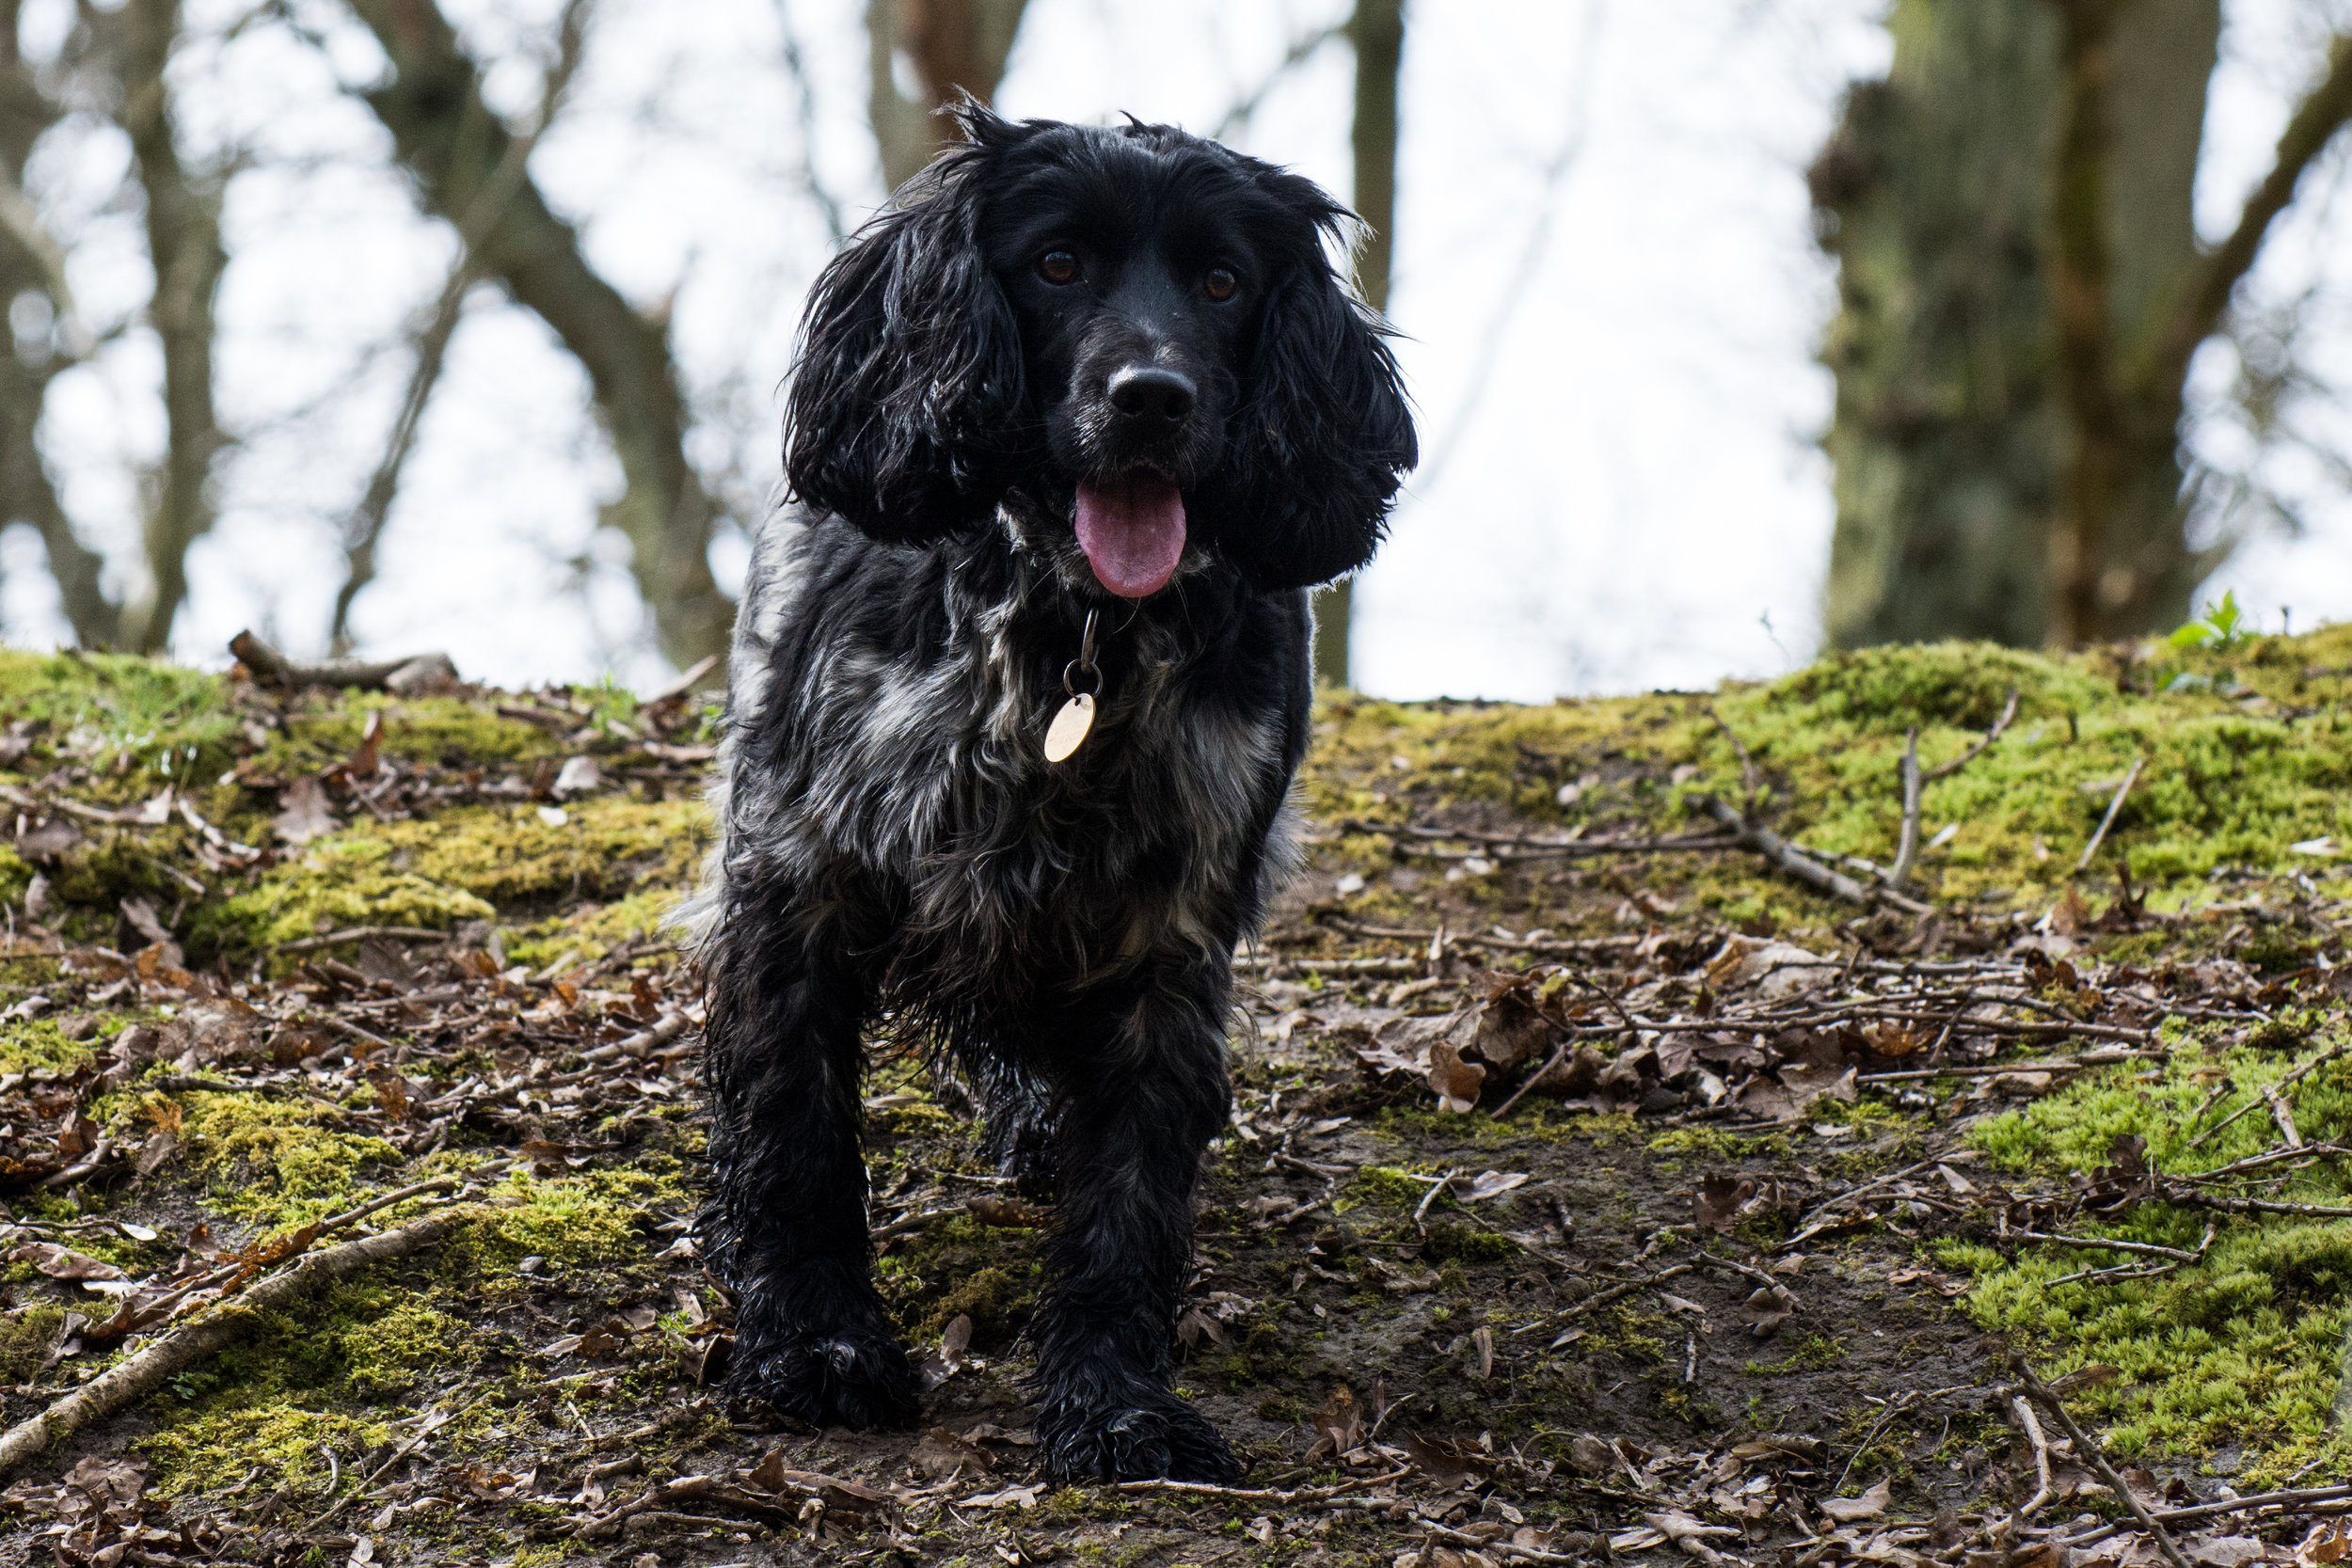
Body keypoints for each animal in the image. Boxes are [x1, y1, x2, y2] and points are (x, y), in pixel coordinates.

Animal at [682, 101, 1411, 1485]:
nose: (1153, 397)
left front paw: (1114, 1400)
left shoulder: (1170, 930)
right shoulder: (799, 873)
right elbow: (798, 1134)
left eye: (1223, 282)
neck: (1071, 633)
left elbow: (1127, 1200)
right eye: (1058, 263)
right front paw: (813, 1340)